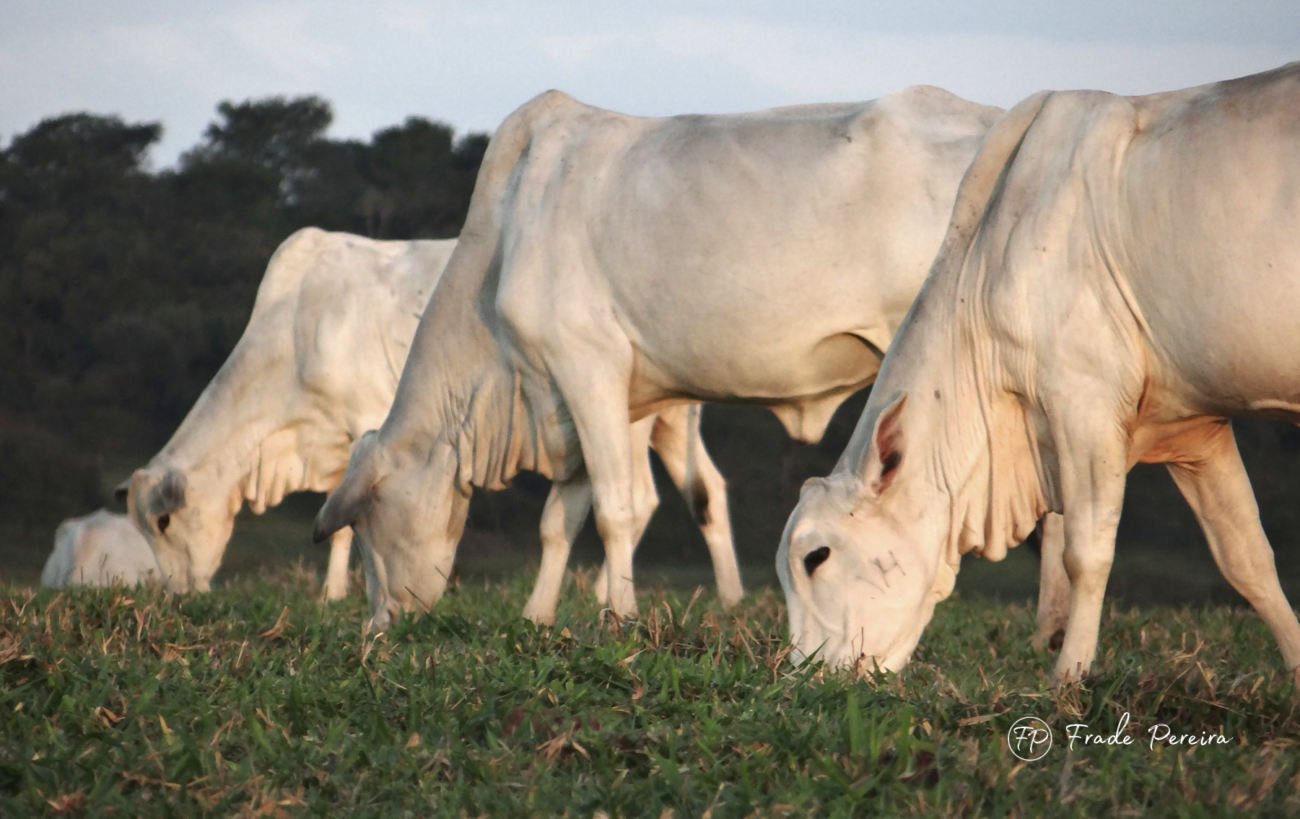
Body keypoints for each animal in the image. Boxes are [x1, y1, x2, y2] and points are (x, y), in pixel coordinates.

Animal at [122, 227, 748, 613]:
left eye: (164, 524)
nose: (177, 597)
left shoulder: (368, 419)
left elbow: (343, 519)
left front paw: (332, 596)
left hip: (625, 415)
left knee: (637, 498)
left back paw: (606, 598)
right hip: (672, 419)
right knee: (706, 492)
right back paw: (731, 598)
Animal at [314, 86, 1003, 629]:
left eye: (367, 520)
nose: (378, 624)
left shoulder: (586, 365)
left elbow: (615, 510)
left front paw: (619, 614)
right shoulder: (580, 396)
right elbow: (561, 516)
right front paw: (538, 616)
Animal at [774, 62, 1300, 681]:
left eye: (816, 556)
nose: (803, 676)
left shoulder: (1084, 402)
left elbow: (1086, 552)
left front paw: (1068, 674)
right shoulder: (1195, 431)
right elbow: (1248, 558)